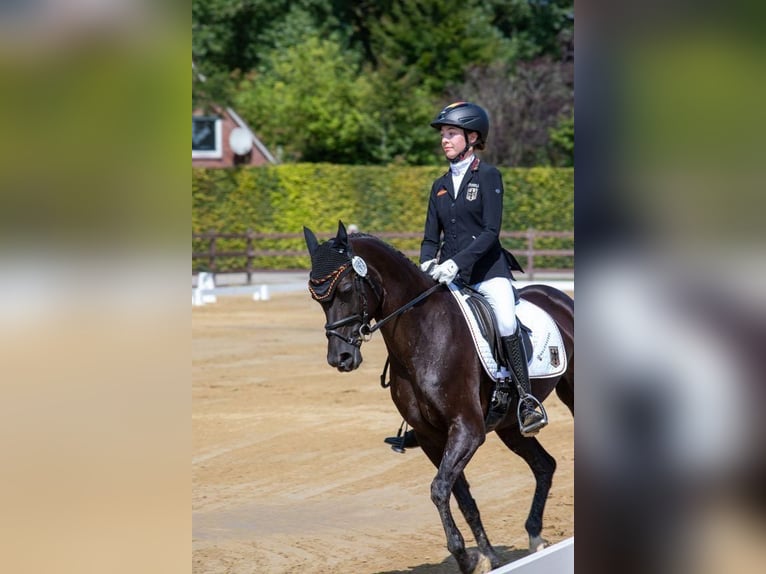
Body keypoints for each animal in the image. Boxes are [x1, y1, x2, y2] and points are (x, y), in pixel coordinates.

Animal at [304, 222, 572, 574]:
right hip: (511, 427)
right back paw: (535, 535)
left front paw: (466, 556)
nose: (341, 358)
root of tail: (558, 296)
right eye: (315, 296)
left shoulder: (467, 430)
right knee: (544, 465)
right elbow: (458, 495)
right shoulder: (432, 437)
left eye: (347, 288)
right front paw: (484, 557)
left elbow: (439, 488)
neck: (423, 333)